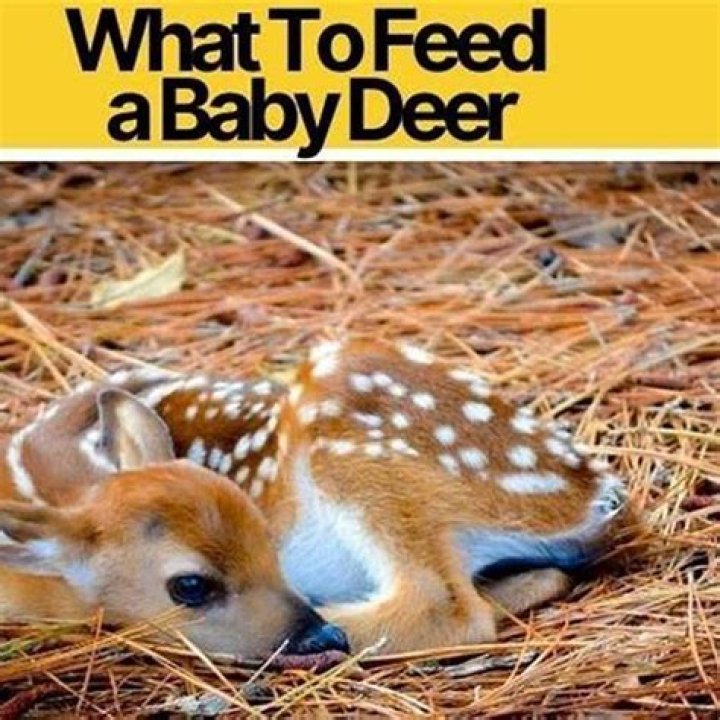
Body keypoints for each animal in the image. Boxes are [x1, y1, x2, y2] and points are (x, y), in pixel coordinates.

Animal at [0, 339, 637, 654]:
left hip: (346, 432)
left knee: (448, 606)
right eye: (191, 586)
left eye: (266, 535)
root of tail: (597, 491)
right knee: (534, 580)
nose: (305, 628)